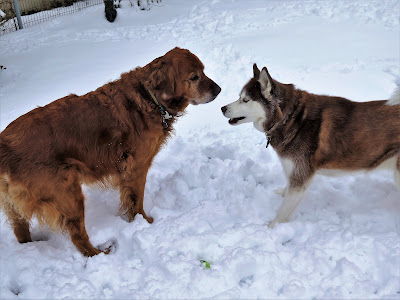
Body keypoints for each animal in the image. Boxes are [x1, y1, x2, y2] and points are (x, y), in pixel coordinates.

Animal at [0, 47, 220, 255]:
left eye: (203, 71)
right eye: (194, 77)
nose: (219, 90)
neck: (150, 97)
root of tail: (5, 145)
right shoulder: (136, 167)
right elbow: (136, 201)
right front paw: (145, 223)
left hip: (17, 207)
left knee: (21, 232)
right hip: (68, 195)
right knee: (79, 238)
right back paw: (100, 253)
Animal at [222, 63, 400, 227]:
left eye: (245, 100)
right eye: (239, 96)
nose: (222, 108)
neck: (290, 118)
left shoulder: (300, 177)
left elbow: (283, 212)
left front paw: (271, 229)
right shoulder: (294, 170)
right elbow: (287, 187)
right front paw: (281, 192)